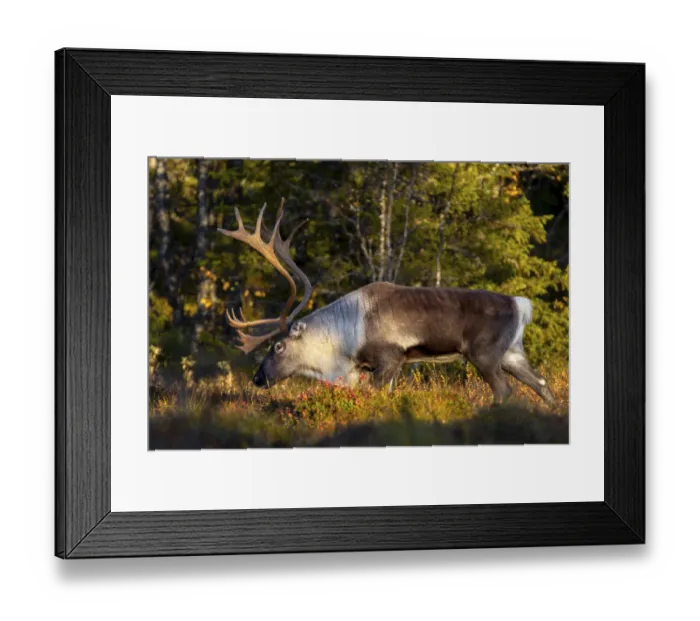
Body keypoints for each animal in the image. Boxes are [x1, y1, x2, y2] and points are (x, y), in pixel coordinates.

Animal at [218, 203, 556, 405]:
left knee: (505, 390)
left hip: (483, 353)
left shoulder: (389, 357)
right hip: (512, 353)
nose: (258, 378)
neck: (341, 340)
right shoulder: (383, 366)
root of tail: (521, 304)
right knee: (542, 384)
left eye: (278, 346)